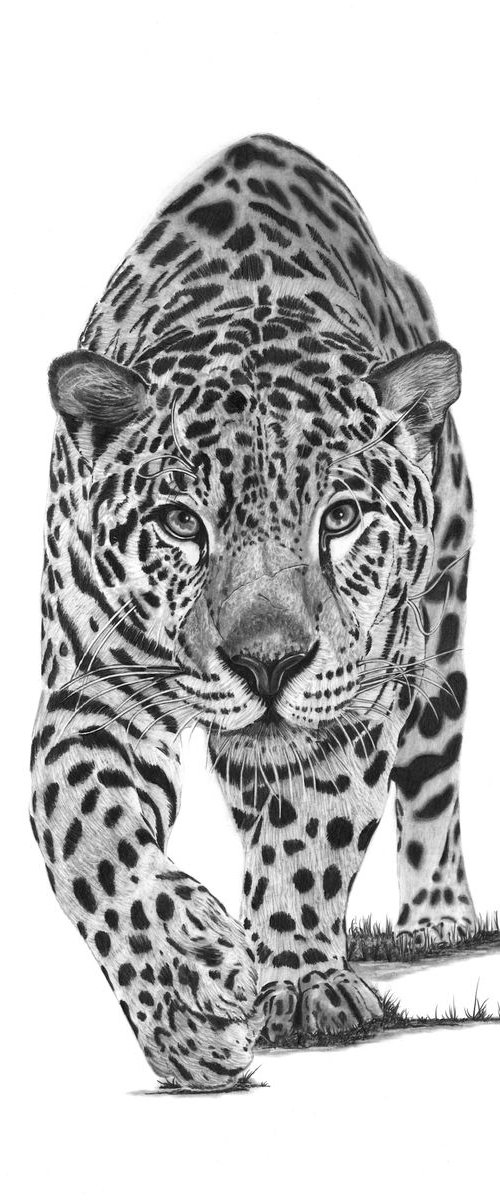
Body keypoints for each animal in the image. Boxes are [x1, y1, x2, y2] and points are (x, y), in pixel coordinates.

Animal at [31, 133, 475, 1090]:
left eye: (339, 519)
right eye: (180, 524)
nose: (268, 662)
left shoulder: (358, 690)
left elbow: (312, 829)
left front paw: (301, 981)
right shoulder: (91, 689)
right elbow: (89, 832)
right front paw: (185, 999)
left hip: (444, 638)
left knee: (432, 779)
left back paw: (439, 915)